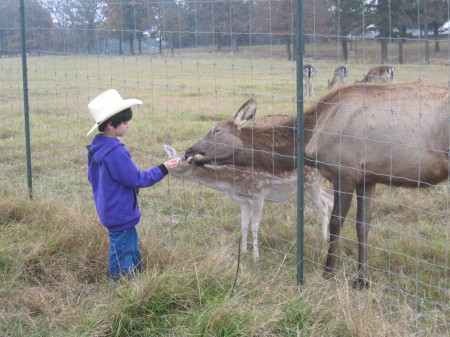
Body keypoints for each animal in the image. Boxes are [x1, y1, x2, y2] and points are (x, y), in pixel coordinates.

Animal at [185, 82, 448, 288]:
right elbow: (363, 225)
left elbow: (335, 222)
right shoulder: (367, 177)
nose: (189, 150)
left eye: (216, 129)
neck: (310, 140)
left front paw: (328, 272)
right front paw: (361, 280)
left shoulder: (345, 172)